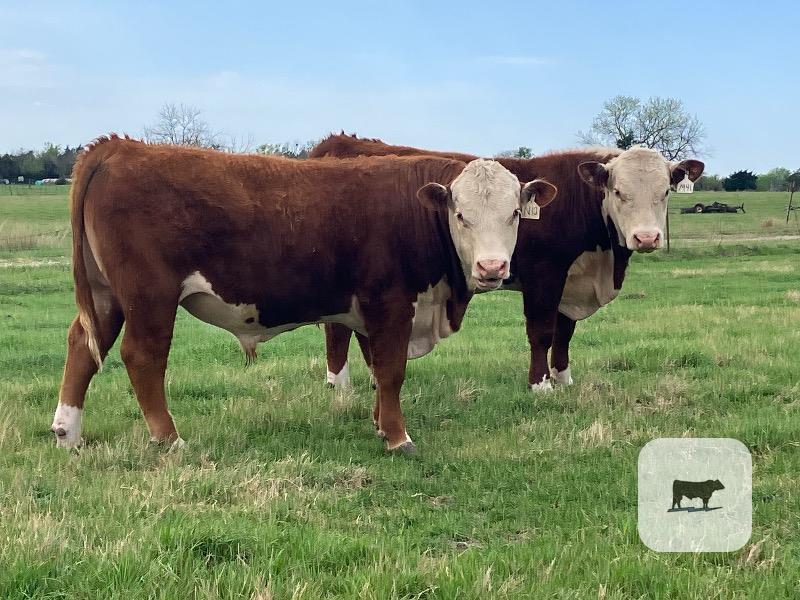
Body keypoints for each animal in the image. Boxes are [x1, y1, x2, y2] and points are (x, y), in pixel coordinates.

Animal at [51, 134, 556, 454]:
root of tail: (119, 147)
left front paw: (380, 426)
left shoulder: (370, 312)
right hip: (149, 296)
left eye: (514, 213)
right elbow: (391, 372)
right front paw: (399, 439)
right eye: (461, 215)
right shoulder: (391, 304)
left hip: (107, 295)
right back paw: (169, 439)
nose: (492, 268)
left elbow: (377, 370)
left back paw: (68, 432)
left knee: (82, 345)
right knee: (142, 356)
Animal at [311, 134, 704, 390]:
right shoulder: (545, 275)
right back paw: (340, 384)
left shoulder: (569, 282)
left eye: (665, 192)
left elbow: (565, 331)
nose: (647, 238)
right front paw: (540, 385)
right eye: (619, 192)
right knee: (337, 329)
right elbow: (542, 331)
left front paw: (564, 378)